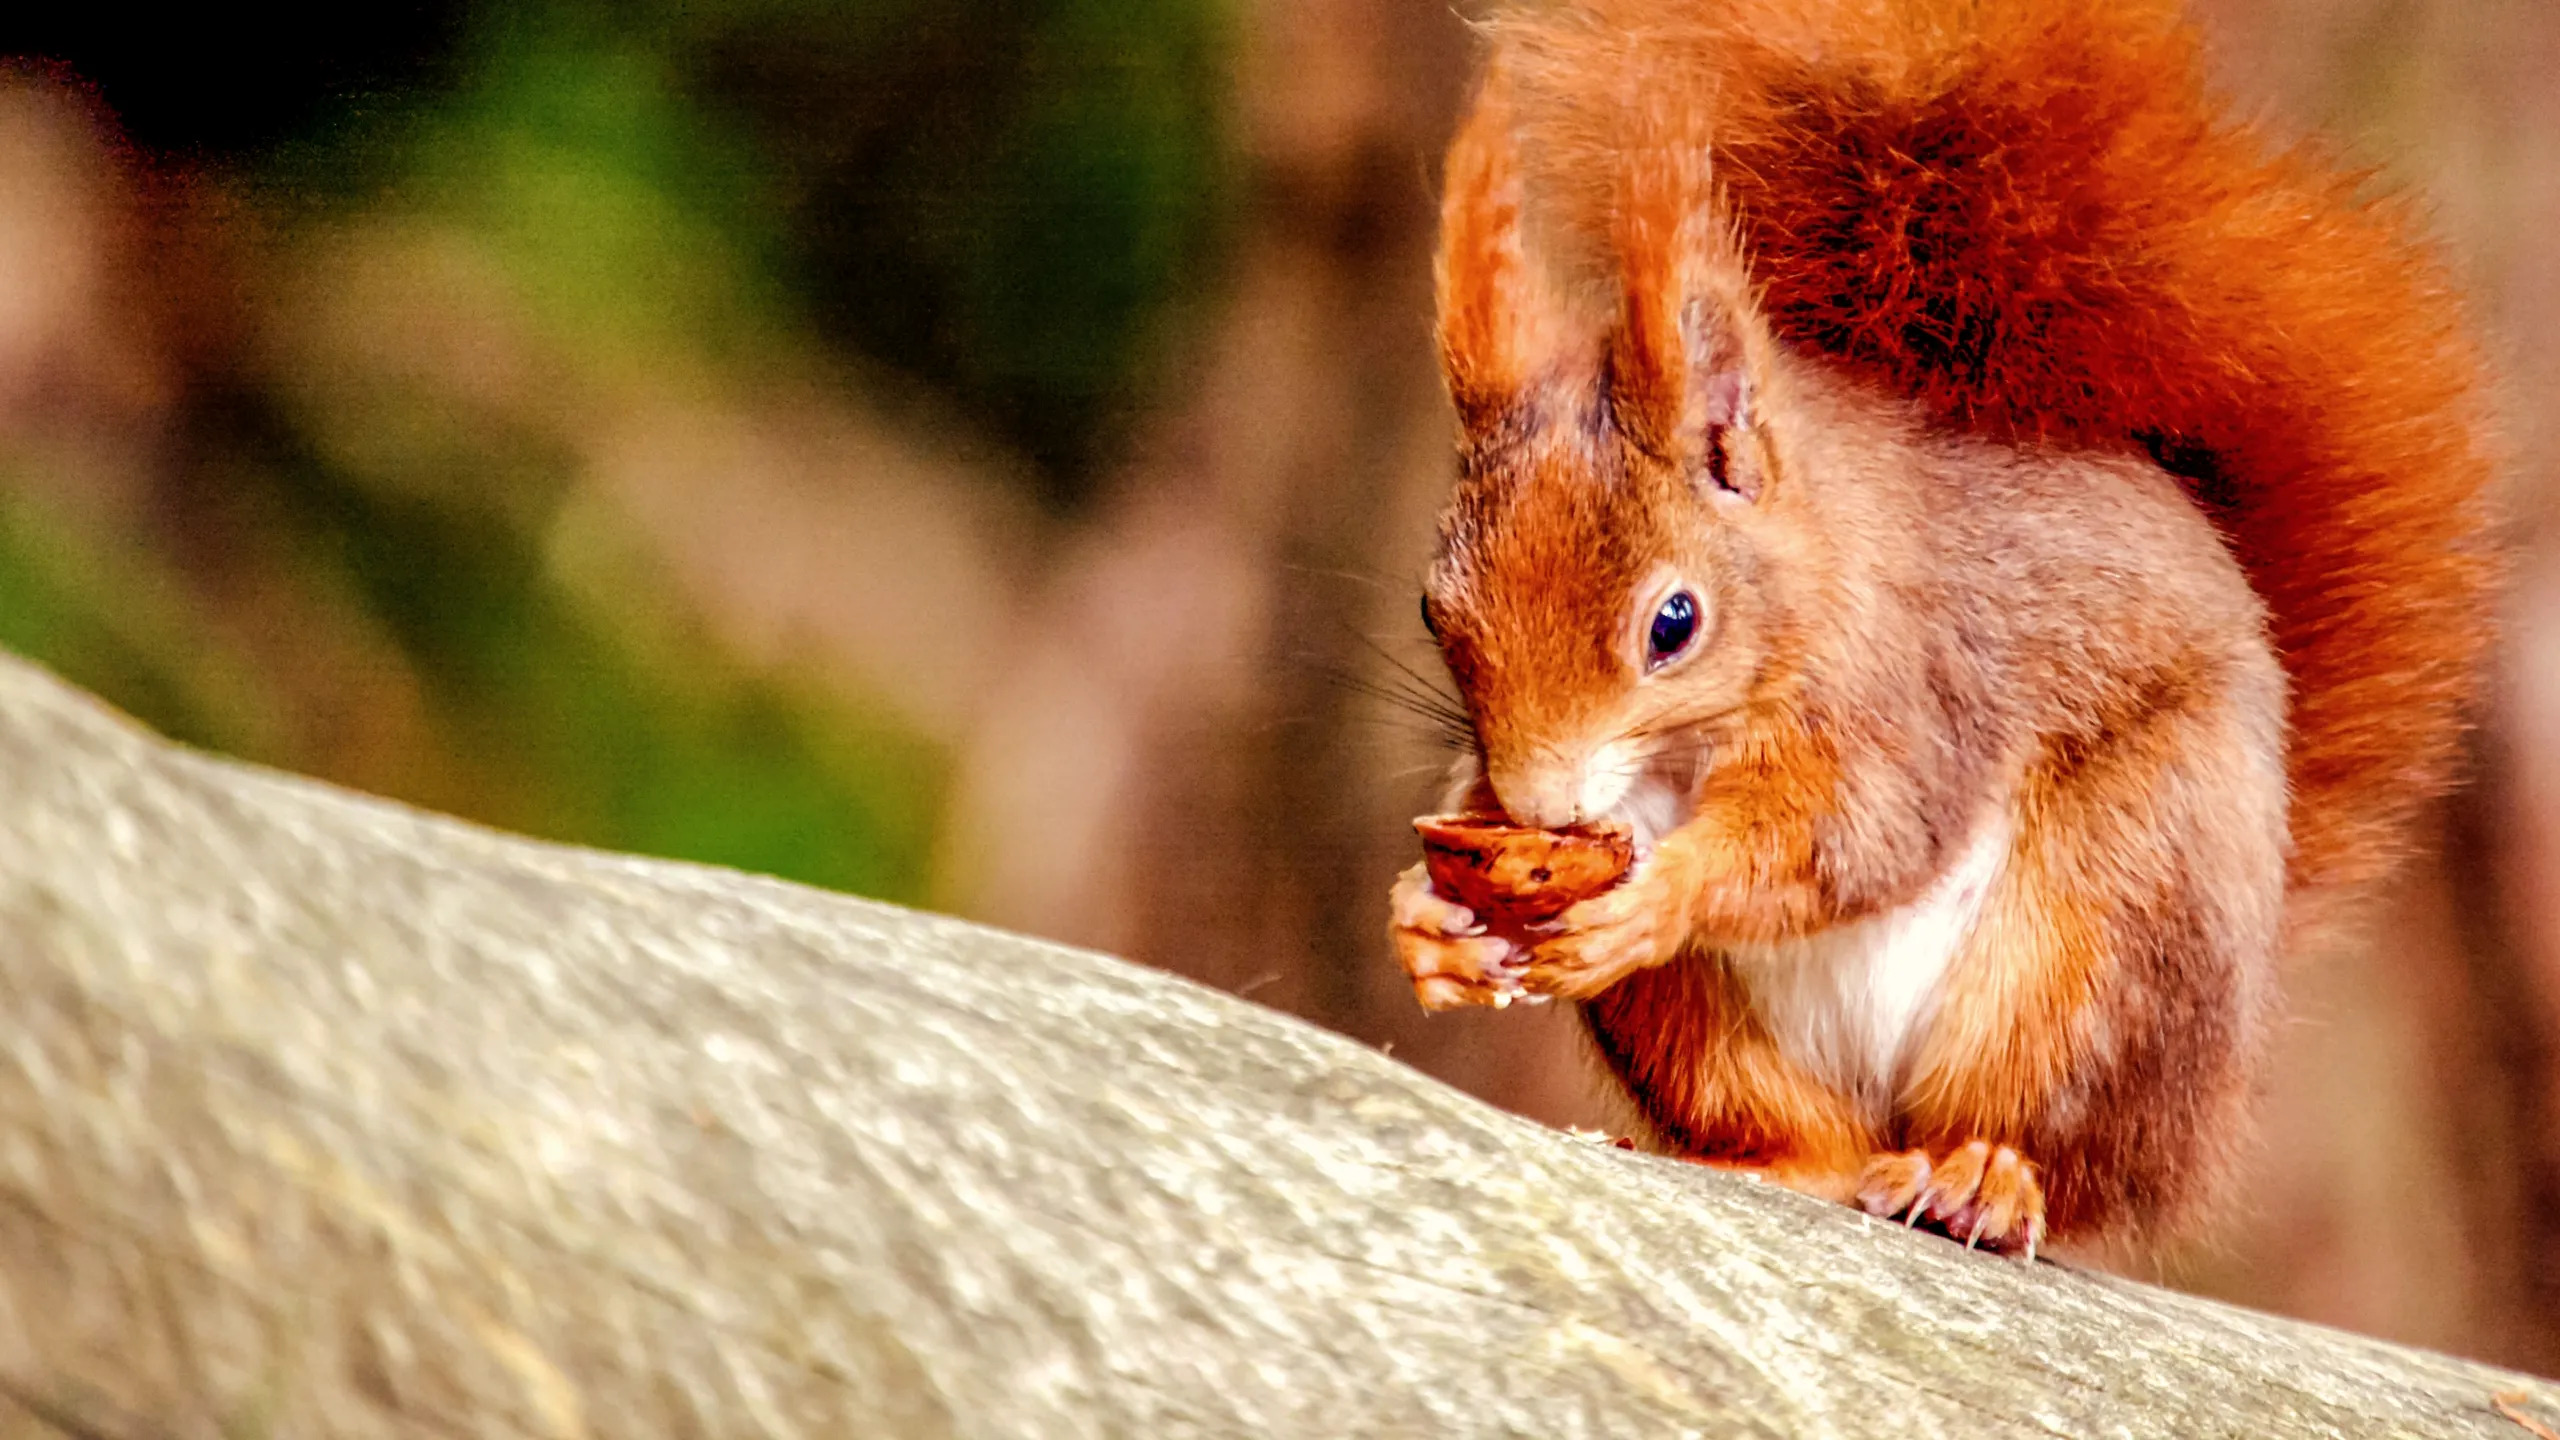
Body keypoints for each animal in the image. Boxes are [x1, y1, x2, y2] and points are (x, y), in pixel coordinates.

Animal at [1387, 0, 2499, 1259]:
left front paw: (1660, 895)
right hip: (1694, 1025)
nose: (1539, 805)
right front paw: (1426, 919)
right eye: (1434, 610)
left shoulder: (1905, 698)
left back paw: (1982, 1177)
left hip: (2102, 938)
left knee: (2043, 1143)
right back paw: (1775, 1158)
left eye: (1675, 623)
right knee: (1814, 1143)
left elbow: (1855, 838)